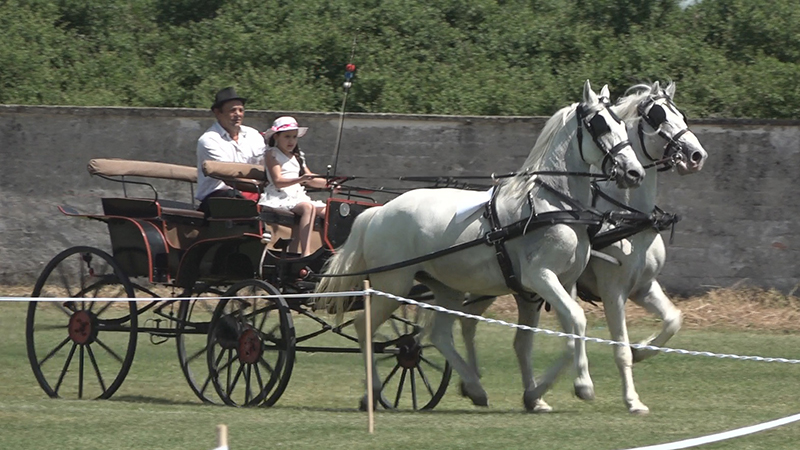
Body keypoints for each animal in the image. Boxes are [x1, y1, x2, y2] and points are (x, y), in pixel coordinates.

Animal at [316, 79, 648, 410]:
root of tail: (377, 213)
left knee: (439, 335)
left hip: (445, 287)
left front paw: (544, 392)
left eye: (622, 123)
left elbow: (566, 332)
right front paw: (575, 387)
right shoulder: (540, 277)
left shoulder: (563, 284)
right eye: (600, 125)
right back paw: (373, 391)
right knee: (365, 325)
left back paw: (474, 387)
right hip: (393, 283)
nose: (635, 173)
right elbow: (576, 323)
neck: (553, 204)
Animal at [460, 80, 708, 412]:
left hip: (509, 289)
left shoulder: (643, 286)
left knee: (496, 333)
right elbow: (618, 348)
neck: (623, 215)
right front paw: (631, 399)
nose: (696, 155)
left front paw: (642, 349)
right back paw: (473, 382)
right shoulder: (612, 290)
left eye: (681, 114)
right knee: (463, 322)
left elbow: (673, 320)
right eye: (657, 117)